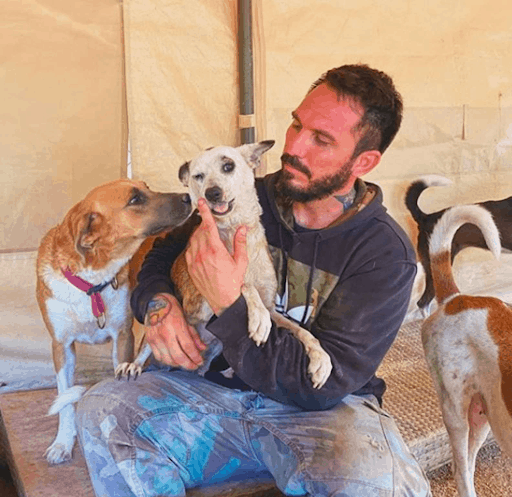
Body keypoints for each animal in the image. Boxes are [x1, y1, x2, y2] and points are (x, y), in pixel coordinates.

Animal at [36, 179, 192, 464]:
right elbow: (65, 399)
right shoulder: (61, 346)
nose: (188, 197)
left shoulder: (123, 337)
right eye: (135, 199)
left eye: (148, 187)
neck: (91, 283)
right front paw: (63, 443)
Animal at [120, 141, 336, 390]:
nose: (212, 193)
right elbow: (240, 283)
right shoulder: (198, 304)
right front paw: (258, 317)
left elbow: (301, 330)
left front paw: (321, 358)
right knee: (145, 350)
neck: (234, 231)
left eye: (228, 166)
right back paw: (133, 366)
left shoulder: (272, 308)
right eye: (198, 176)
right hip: (154, 334)